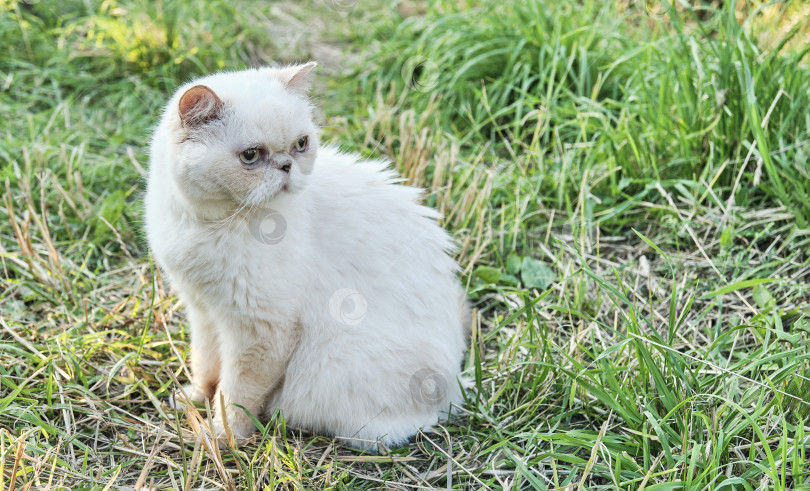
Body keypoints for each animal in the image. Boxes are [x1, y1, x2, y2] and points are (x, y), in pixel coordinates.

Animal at [145, 62, 468, 450]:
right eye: (251, 156)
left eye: (301, 145)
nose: (287, 166)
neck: (210, 224)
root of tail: (454, 394)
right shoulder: (203, 310)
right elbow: (206, 366)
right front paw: (193, 399)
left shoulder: (260, 331)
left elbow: (235, 394)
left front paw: (223, 437)